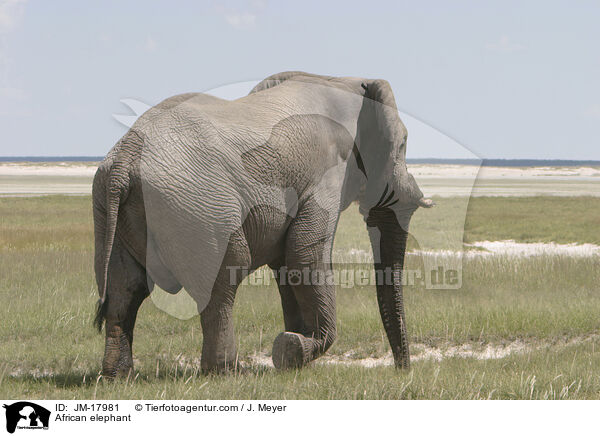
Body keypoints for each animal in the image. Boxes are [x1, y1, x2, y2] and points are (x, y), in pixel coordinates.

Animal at [92, 70, 432, 374]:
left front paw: (296, 350)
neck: (345, 80)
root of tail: (124, 161)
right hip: (199, 206)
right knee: (223, 279)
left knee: (125, 290)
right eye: (403, 145)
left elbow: (286, 265)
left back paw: (117, 376)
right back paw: (227, 372)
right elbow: (304, 254)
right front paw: (292, 348)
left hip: (111, 210)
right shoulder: (328, 173)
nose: (402, 370)